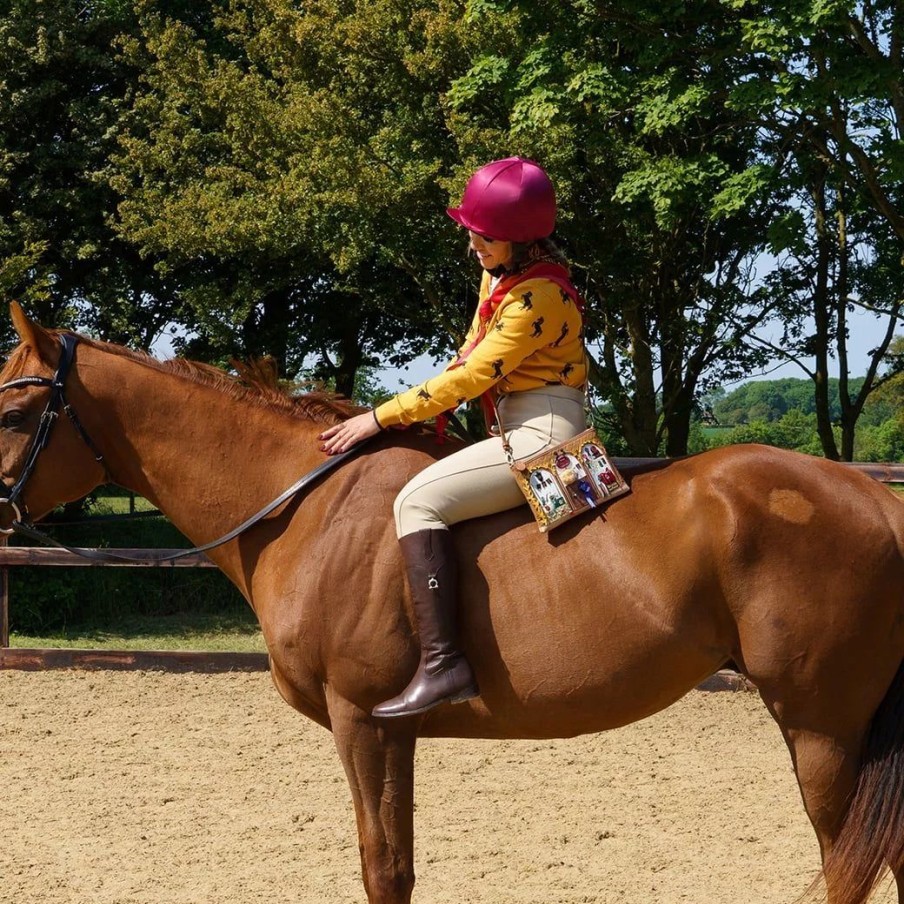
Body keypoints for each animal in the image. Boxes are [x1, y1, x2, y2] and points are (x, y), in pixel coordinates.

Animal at [1, 306, 904, 904]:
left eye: (12, 410)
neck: (306, 506)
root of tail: (871, 495)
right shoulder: (392, 731)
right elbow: (396, 866)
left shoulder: (360, 721)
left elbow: (381, 868)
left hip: (821, 726)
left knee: (848, 863)